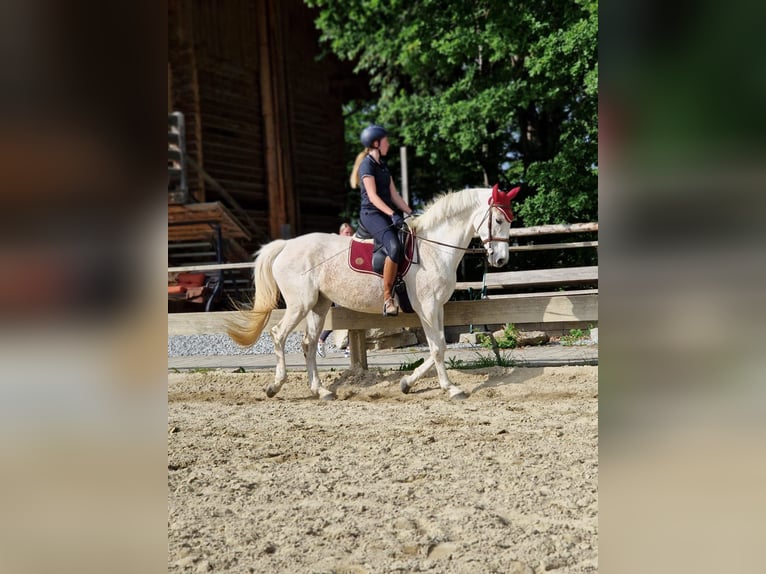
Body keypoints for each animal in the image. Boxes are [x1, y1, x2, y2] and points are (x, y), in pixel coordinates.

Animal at [225, 184, 520, 400]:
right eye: (497, 219)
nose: (501, 260)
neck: (434, 247)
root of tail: (286, 245)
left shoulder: (437, 307)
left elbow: (440, 346)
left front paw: (407, 382)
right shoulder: (427, 306)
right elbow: (437, 348)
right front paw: (451, 389)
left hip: (319, 305)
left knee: (308, 343)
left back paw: (320, 390)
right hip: (300, 303)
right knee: (279, 335)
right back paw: (275, 386)